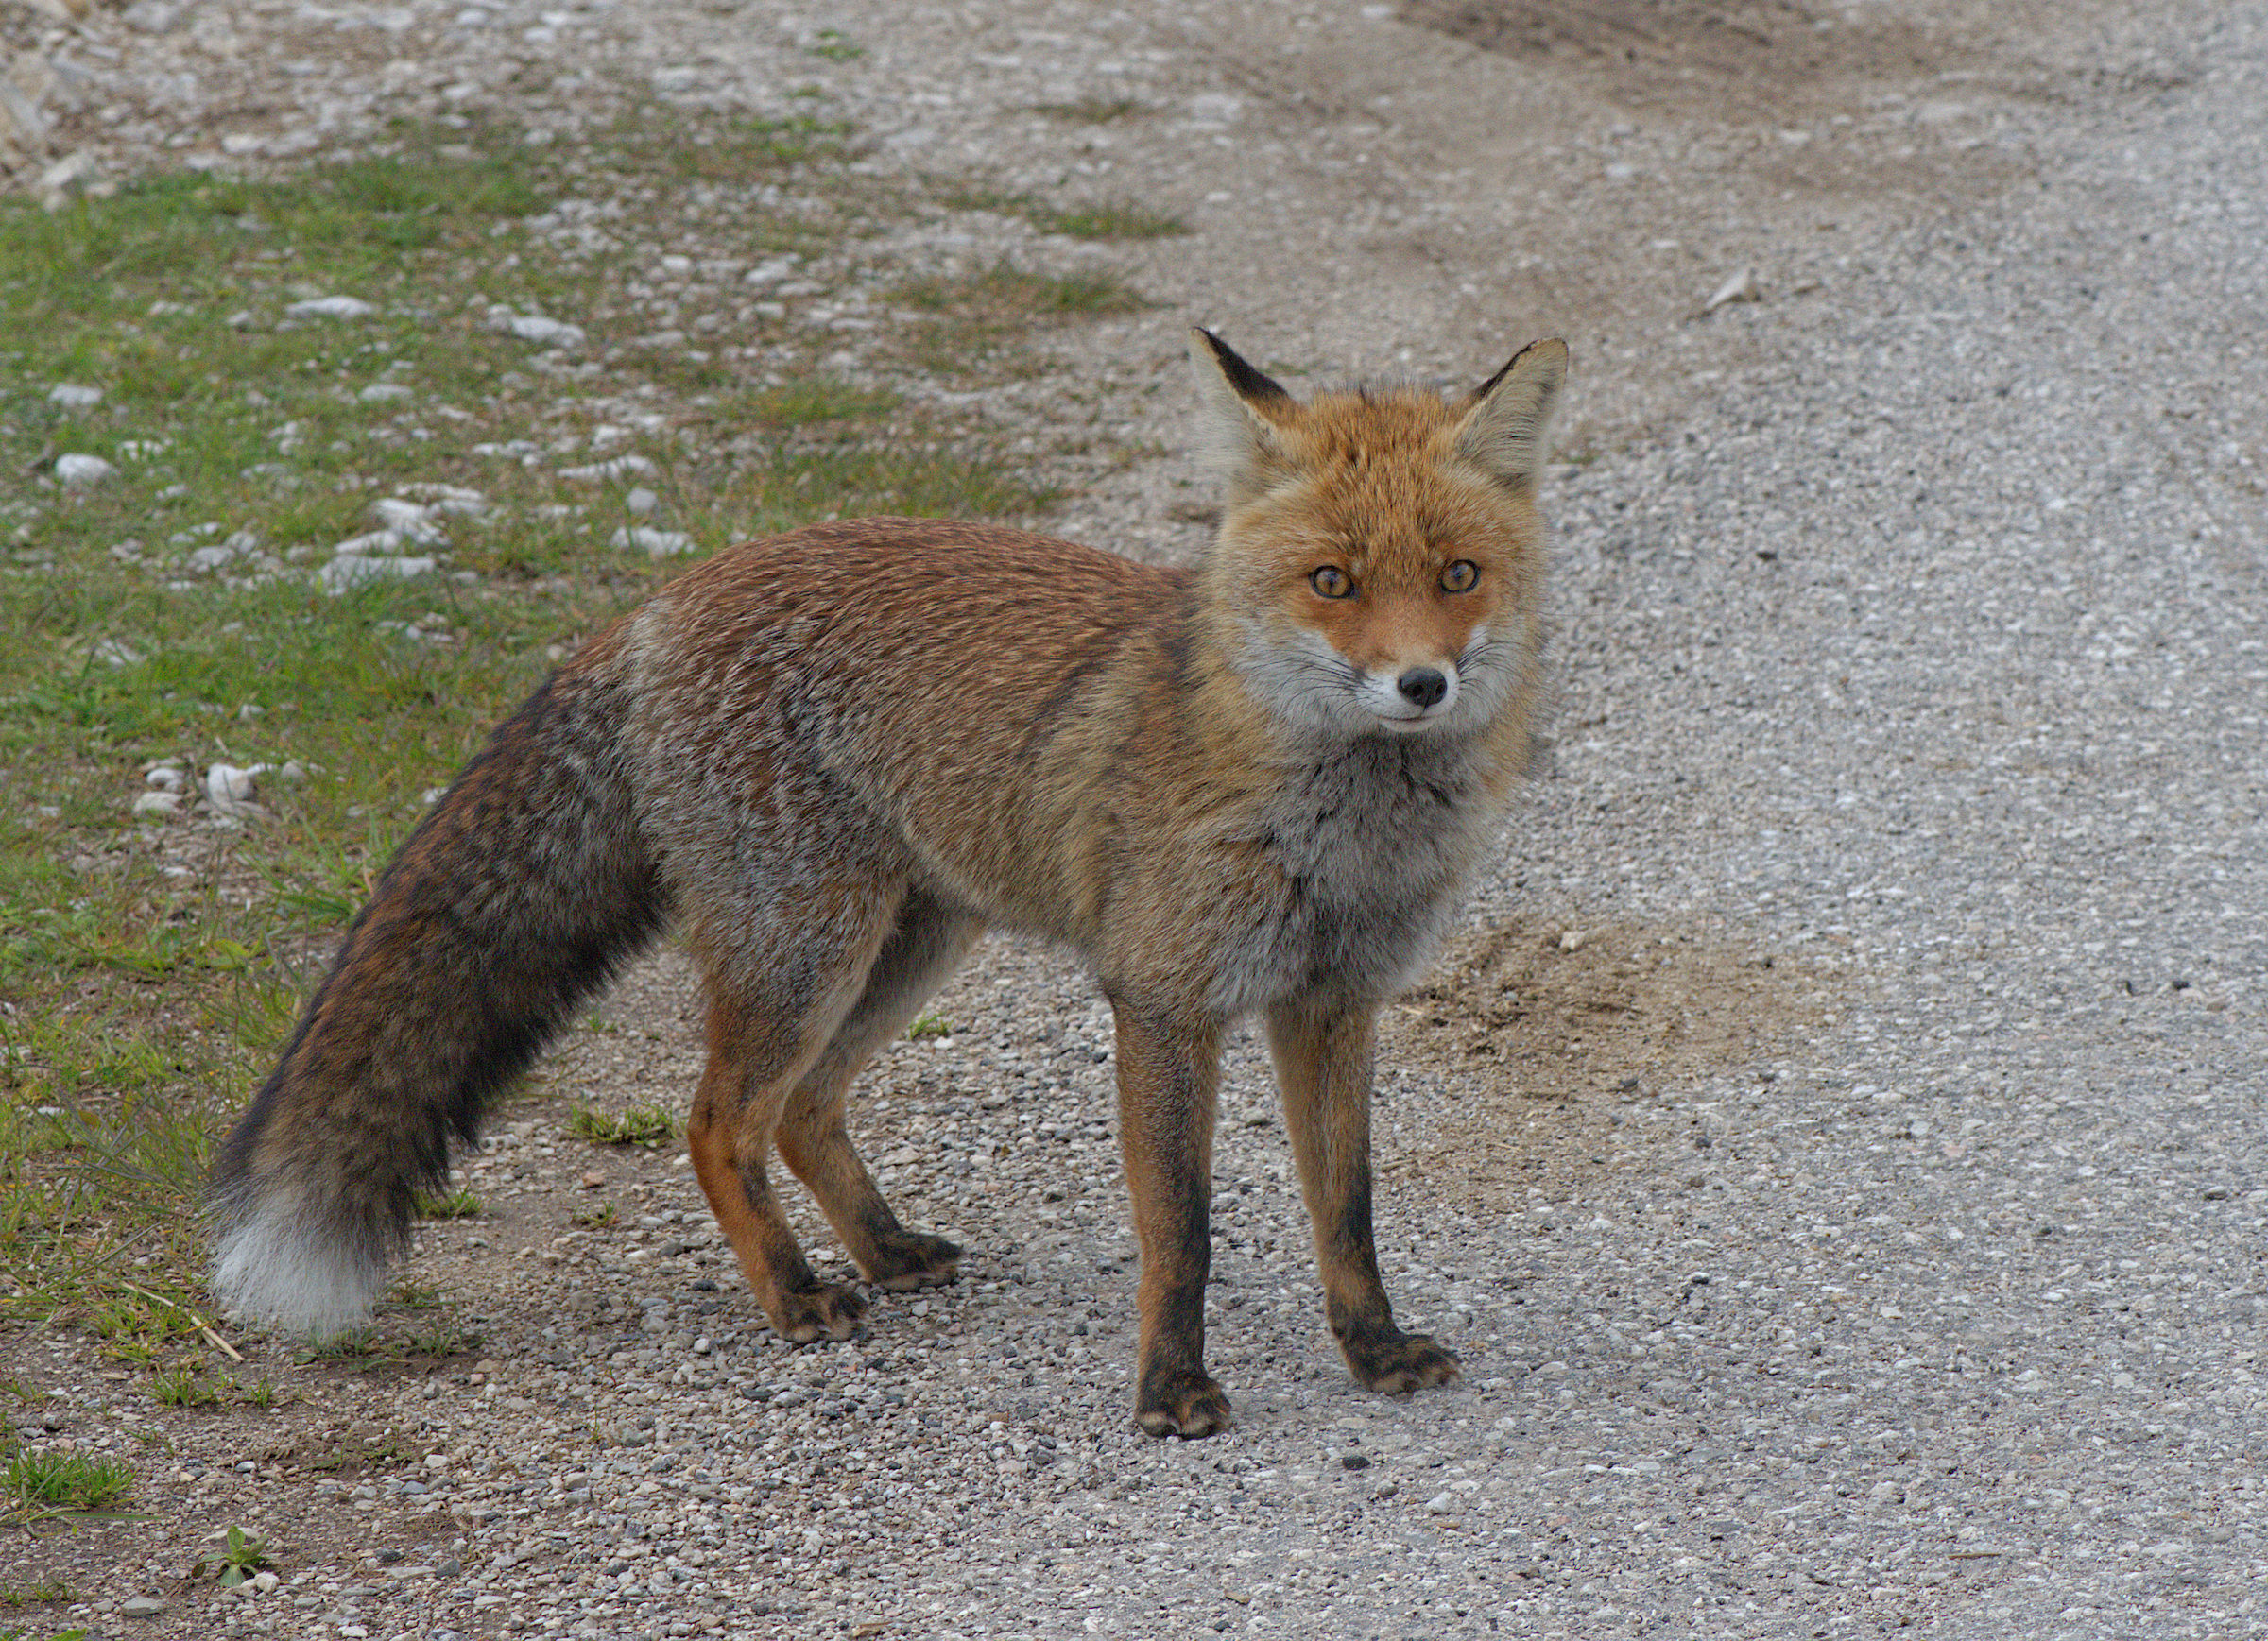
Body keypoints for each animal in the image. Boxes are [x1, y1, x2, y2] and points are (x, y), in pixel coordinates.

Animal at [210, 328, 1567, 1437]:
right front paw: (1170, 1390)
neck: (1338, 832)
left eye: (1457, 575)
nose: (1422, 685)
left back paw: (881, 1250)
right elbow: (1180, 1231)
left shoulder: (1335, 1001)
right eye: (1333, 582)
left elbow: (1348, 1208)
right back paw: (795, 1292)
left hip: (908, 946)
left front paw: (1375, 1351)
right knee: (717, 1121)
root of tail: (659, 603)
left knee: (804, 1112)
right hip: (811, 950)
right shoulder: (1164, 1000)